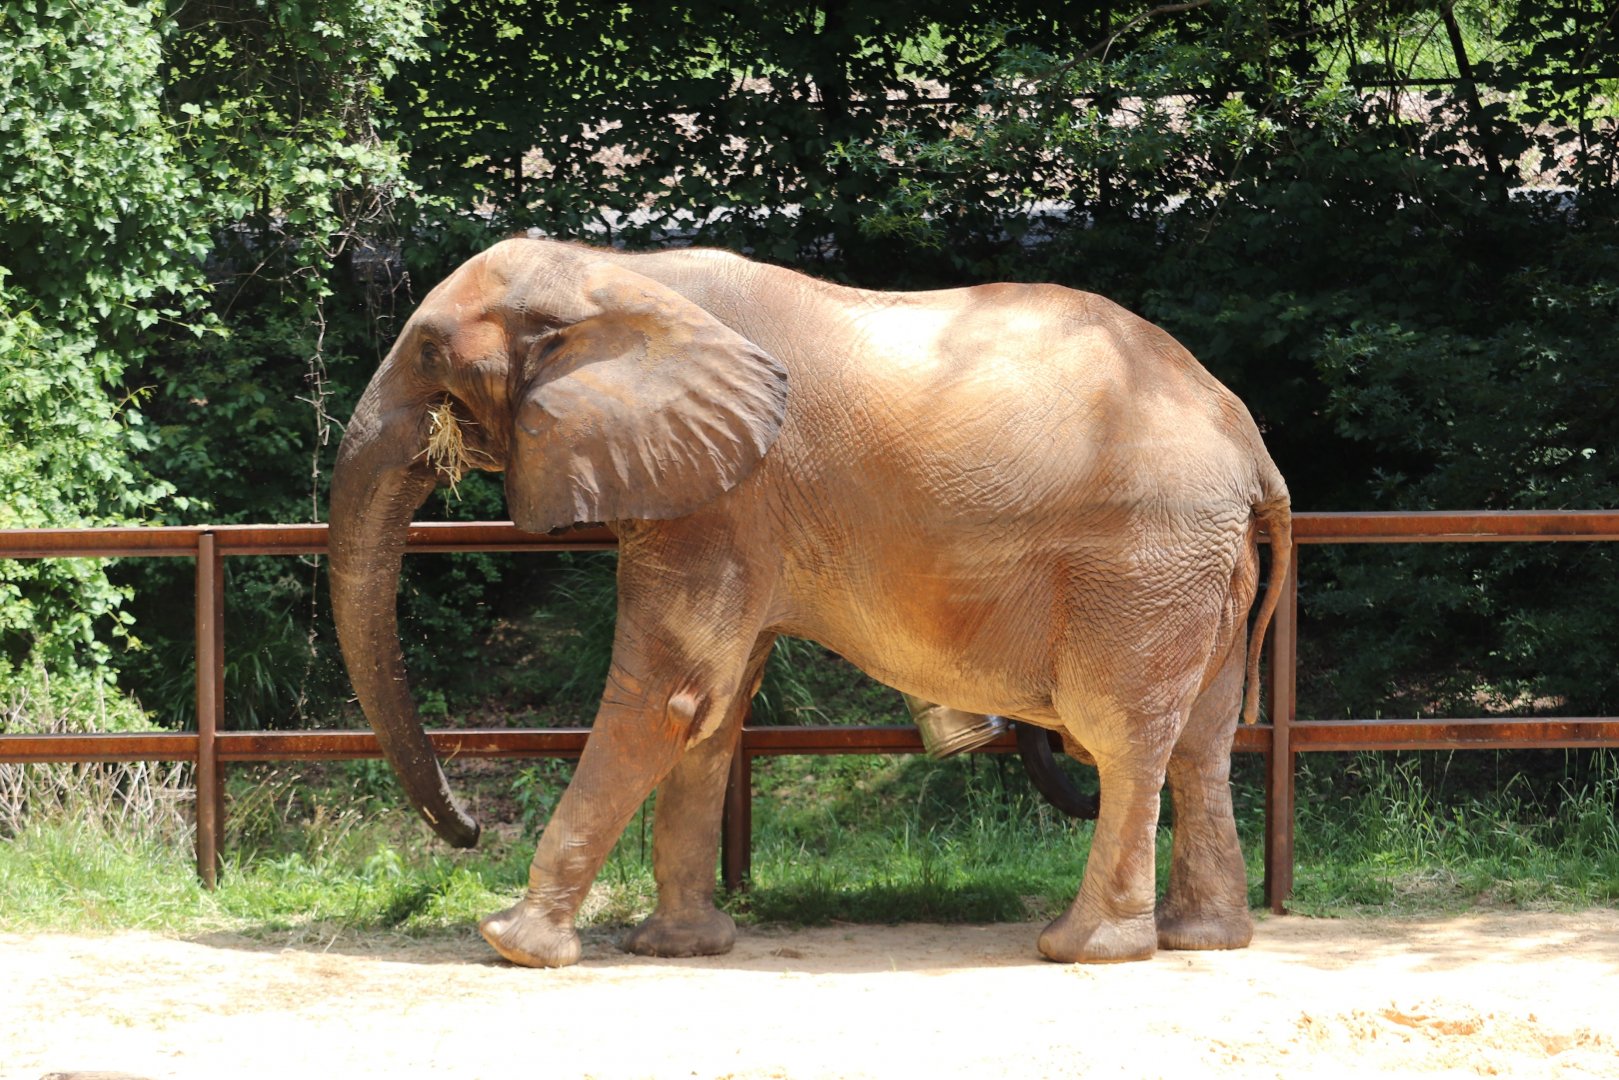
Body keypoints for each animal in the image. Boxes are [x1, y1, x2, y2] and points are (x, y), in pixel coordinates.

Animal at [328, 237, 1292, 968]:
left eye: (427, 354)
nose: (466, 833)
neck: (617, 271)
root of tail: (1252, 447)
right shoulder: (726, 502)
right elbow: (715, 707)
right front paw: (678, 948)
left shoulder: (724, 499)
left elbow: (666, 696)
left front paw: (512, 943)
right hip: (1200, 565)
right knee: (1201, 742)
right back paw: (1201, 939)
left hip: (1144, 559)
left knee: (1120, 736)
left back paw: (1081, 949)